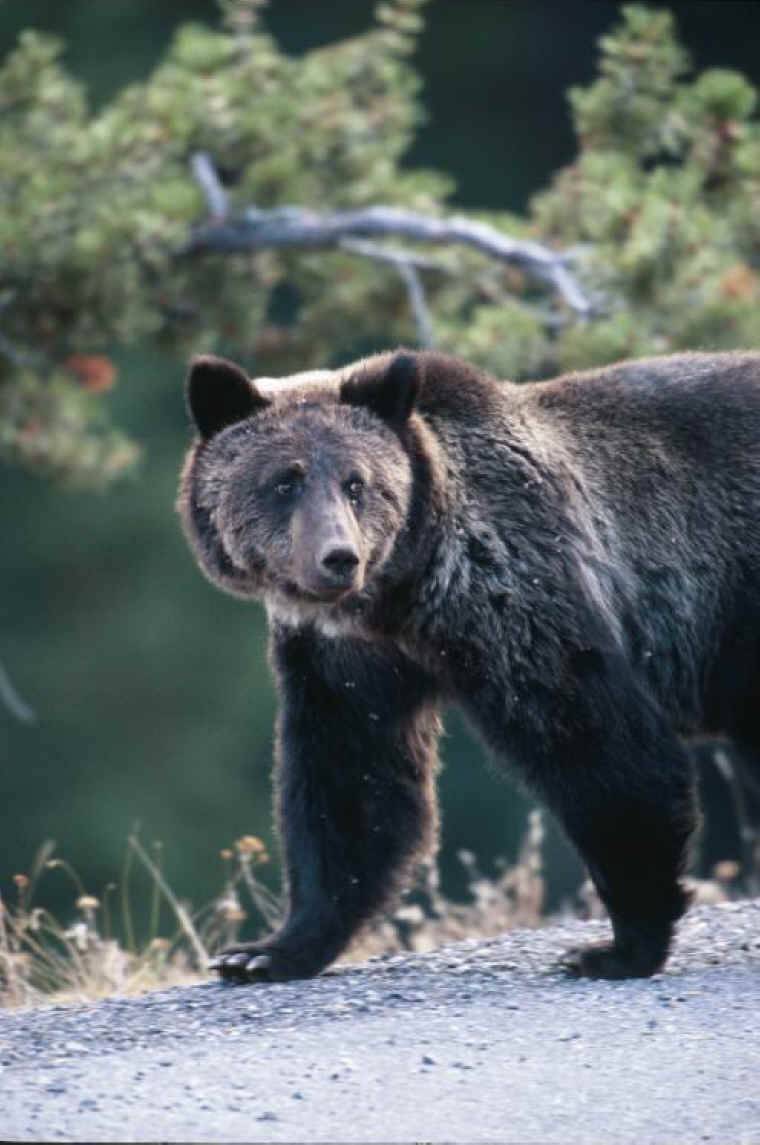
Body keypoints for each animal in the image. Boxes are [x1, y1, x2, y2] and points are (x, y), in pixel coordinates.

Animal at [178, 347, 760, 982]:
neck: (403, 594)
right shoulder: (344, 657)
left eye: (358, 483)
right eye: (285, 480)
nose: (339, 557)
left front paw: (617, 945)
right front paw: (266, 950)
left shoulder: (516, 589)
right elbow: (350, 783)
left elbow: (599, 744)